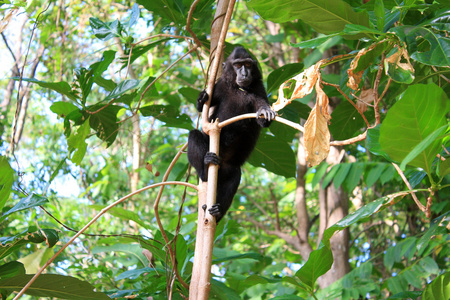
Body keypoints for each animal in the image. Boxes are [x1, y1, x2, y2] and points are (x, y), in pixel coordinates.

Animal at [185, 47, 274, 223]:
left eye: (248, 64)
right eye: (238, 65)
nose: (245, 74)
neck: (239, 89)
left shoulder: (259, 88)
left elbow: (262, 119)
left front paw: (265, 112)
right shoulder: (219, 86)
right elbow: (203, 109)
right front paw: (201, 98)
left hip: (229, 169)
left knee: (234, 176)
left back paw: (217, 212)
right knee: (194, 136)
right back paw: (206, 166)